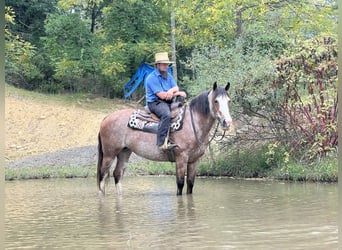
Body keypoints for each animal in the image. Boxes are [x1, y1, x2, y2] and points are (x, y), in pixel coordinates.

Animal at [97, 82, 234, 195]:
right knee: (102, 177)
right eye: (216, 101)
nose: (227, 122)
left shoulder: (194, 161)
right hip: (109, 154)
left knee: (117, 174)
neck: (193, 123)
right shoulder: (181, 158)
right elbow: (180, 185)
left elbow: (190, 185)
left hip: (124, 152)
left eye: (228, 101)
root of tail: (106, 118)